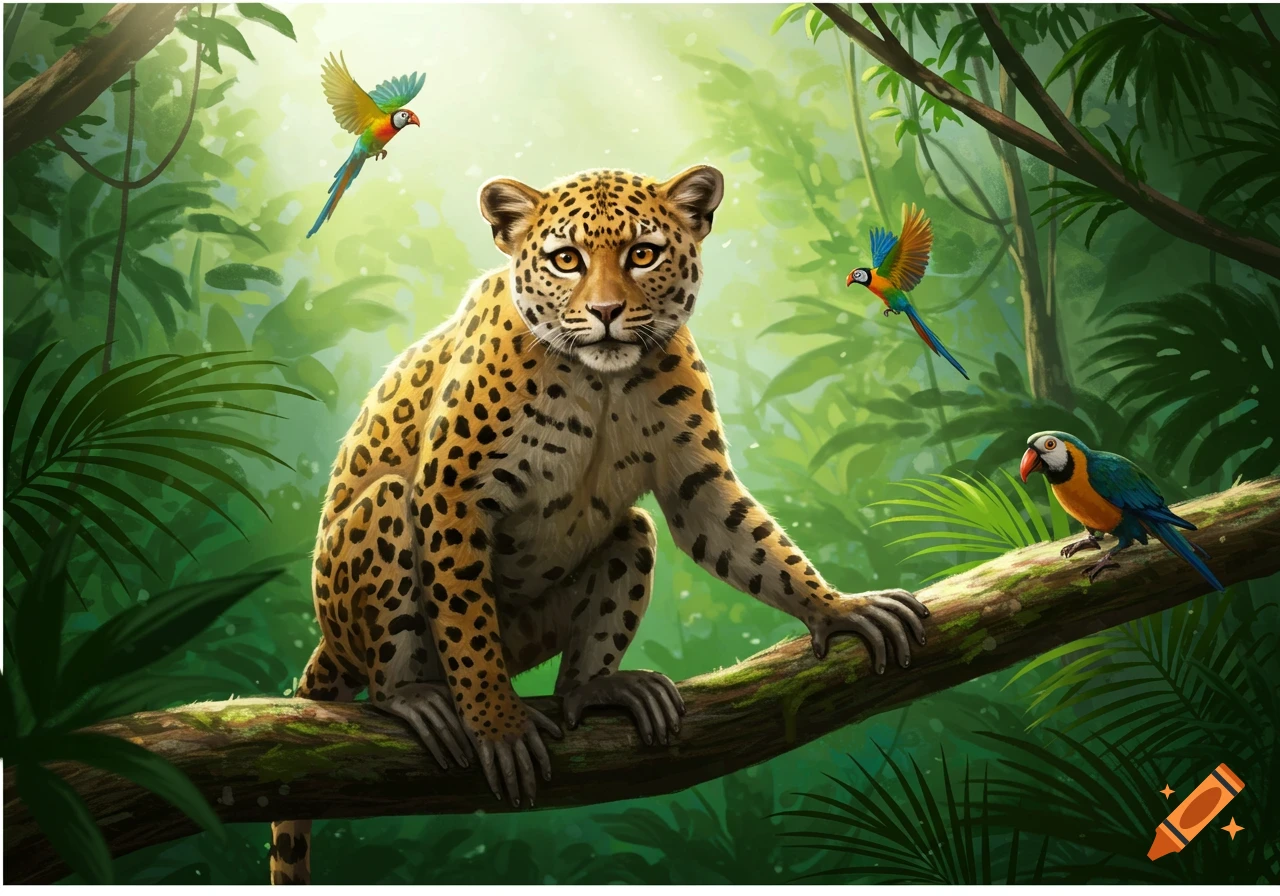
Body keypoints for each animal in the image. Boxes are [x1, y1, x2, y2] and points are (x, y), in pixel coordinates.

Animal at [268, 165, 929, 884]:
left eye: (643, 254)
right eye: (567, 260)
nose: (607, 312)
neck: (599, 383)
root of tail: (329, 642)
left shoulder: (696, 481)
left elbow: (755, 545)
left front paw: (839, 607)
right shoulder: (451, 491)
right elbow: (467, 625)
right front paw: (497, 725)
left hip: (618, 549)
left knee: (593, 627)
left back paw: (607, 689)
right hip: (386, 517)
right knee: (398, 658)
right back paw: (418, 698)